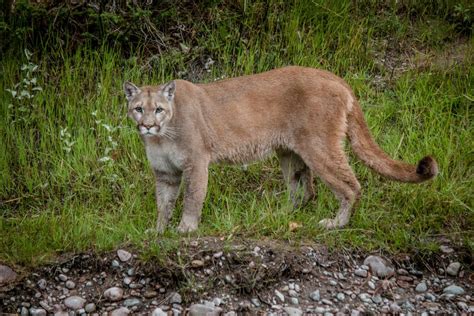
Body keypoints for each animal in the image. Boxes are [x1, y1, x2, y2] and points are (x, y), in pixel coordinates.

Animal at [124, 66, 438, 233]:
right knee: (304, 190)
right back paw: (279, 215)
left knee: (350, 186)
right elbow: (163, 203)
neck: (162, 136)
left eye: (159, 110)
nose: (148, 126)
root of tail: (334, 76)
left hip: (319, 147)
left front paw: (186, 229)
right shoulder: (165, 173)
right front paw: (158, 230)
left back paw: (335, 223)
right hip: (290, 153)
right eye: (138, 109)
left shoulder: (195, 163)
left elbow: (192, 197)